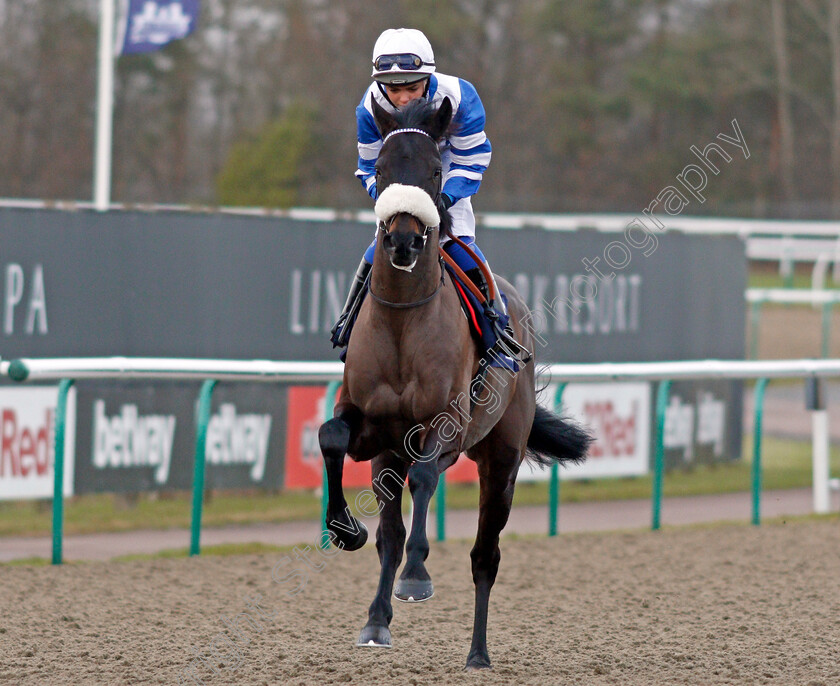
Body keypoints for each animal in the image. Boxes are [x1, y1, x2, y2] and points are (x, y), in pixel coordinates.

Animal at [318, 97, 592, 672]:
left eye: (435, 171)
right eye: (380, 169)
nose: (401, 240)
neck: (403, 320)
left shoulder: (446, 427)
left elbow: (426, 477)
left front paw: (418, 577)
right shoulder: (371, 429)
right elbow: (331, 438)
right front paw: (344, 528)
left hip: (501, 460)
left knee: (485, 555)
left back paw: (478, 653)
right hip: (388, 457)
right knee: (391, 535)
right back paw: (376, 620)